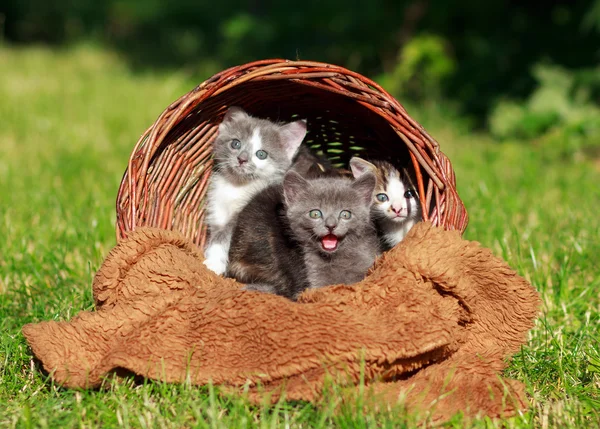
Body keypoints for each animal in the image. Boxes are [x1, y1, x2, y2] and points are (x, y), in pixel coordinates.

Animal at [204, 107, 308, 274]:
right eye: (236, 144)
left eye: (261, 154)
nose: (242, 159)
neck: (236, 185)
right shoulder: (217, 212)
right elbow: (216, 235)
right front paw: (211, 256)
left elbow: (226, 236)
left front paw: (214, 264)